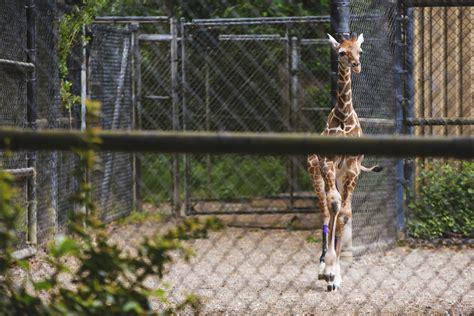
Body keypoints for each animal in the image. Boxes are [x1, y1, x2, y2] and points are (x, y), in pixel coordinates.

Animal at [308, 33, 382, 292]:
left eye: (359, 51)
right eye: (341, 52)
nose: (356, 65)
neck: (343, 118)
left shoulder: (352, 168)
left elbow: (345, 213)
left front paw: (335, 275)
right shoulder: (328, 164)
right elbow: (334, 205)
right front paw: (328, 270)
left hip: (342, 176)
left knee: (338, 211)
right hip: (317, 174)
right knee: (325, 212)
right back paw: (321, 266)